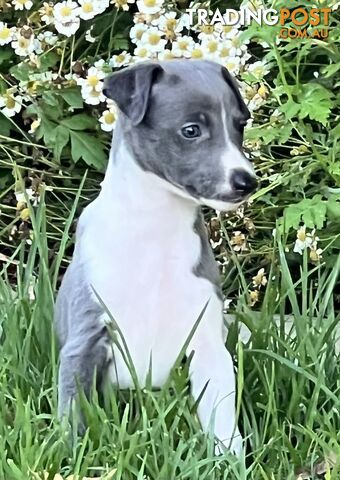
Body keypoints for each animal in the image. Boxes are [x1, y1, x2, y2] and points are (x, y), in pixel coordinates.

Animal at [55, 59, 258, 454]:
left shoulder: (207, 344)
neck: (155, 230)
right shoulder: (83, 342)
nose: (247, 182)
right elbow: (73, 414)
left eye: (240, 125)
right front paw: (71, 456)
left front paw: (229, 459)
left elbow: (222, 418)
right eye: (191, 130)